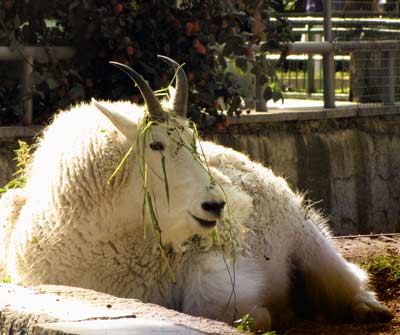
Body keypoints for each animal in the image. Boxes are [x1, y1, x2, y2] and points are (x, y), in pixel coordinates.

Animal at [0, 56, 392, 332]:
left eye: (193, 140)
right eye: (156, 145)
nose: (216, 205)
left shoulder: (210, 263)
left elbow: (221, 306)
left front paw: (268, 314)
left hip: (308, 239)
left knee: (347, 277)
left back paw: (367, 309)